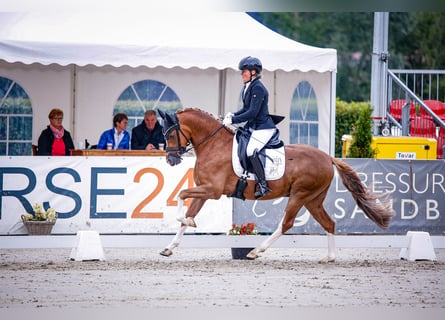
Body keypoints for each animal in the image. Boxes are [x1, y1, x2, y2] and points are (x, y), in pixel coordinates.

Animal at [157, 108, 392, 262]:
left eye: (171, 134)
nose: (171, 160)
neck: (213, 144)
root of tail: (327, 158)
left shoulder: (212, 190)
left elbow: (181, 194)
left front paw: (183, 220)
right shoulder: (205, 191)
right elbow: (188, 213)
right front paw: (169, 247)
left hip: (299, 195)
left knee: (286, 224)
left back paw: (255, 251)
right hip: (313, 199)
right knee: (329, 223)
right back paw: (330, 258)